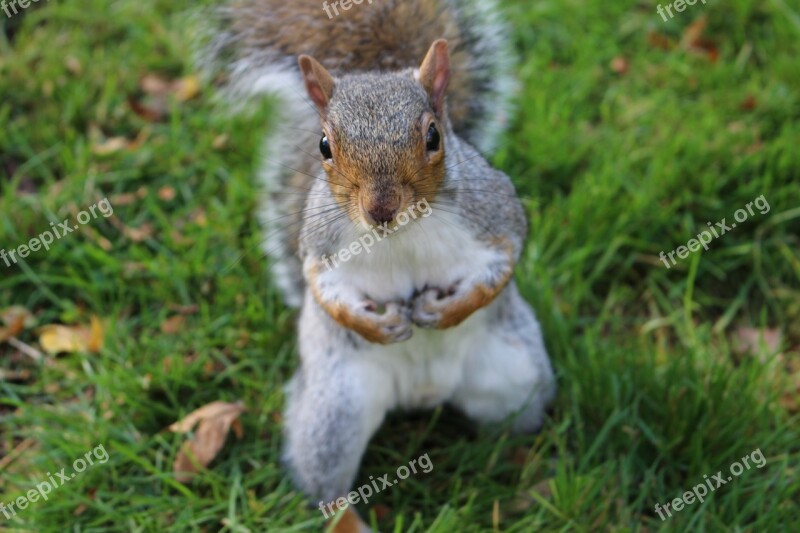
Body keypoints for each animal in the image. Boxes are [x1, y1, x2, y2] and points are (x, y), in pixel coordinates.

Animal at [197, 1, 552, 528]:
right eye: (324, 145)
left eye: (433, 136)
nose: (381, 208)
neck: (401, 233)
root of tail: (421, 394)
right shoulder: (320, 248)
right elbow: (322, 287)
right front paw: (377, 326)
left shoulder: (495, 218)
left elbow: (501, 265)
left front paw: (444, 311)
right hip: (334, 413)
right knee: (325, 483)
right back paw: (349, 520)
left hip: (518, 376)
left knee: (511, 426)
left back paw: (520, 470)